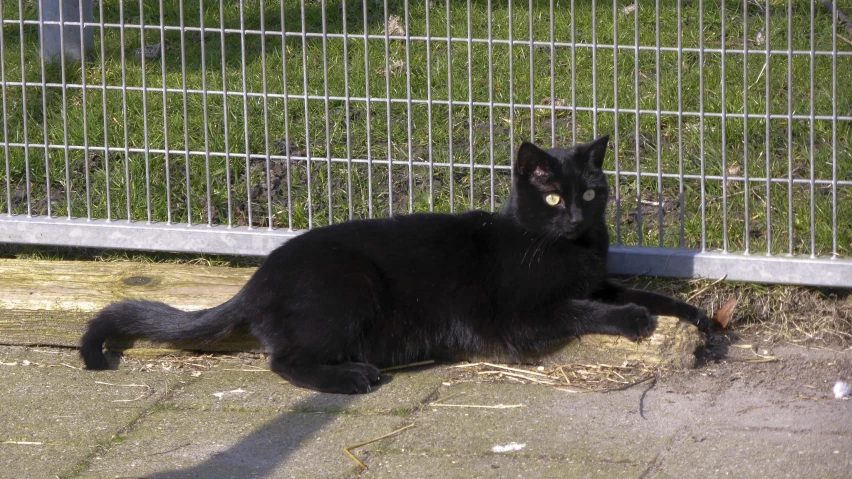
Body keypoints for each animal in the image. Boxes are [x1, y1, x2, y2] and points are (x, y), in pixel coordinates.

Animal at [80, 135, 708, 394]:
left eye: (593, 193)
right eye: (553, 197)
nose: (577, 215)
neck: (573, 249)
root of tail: (257, 278)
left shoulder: (598, 278)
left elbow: (643, 292)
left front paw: (701, 319)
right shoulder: (519, 321)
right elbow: (582, 310)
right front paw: (633, 322)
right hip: (351, 286)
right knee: (284, 361)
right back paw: (354, 378)